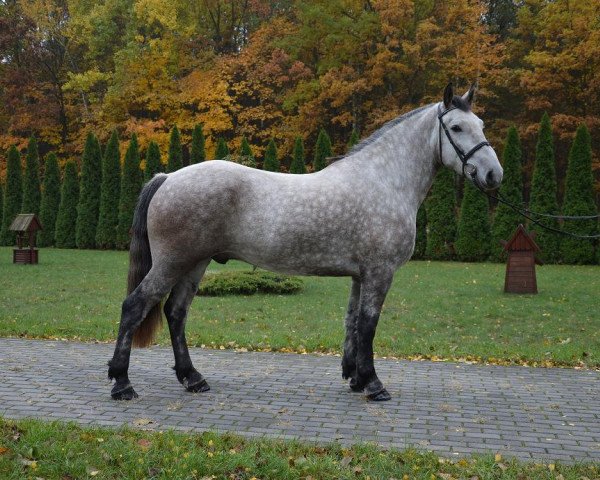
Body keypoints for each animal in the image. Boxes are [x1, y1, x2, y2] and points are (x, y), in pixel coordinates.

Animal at [106, 83, 502, 402]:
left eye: (482, 126)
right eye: (456, 127)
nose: (493, 174)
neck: (384, 181)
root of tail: (168, 176)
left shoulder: (360, 276)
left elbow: (353, 322)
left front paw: (355, 378)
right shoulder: (380, 272)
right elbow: (369, 325)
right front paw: (374, 385)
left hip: (195, 263)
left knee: (176, 313)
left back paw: (193, 379)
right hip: (172, 262)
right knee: (134, 306)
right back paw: (122, 384)